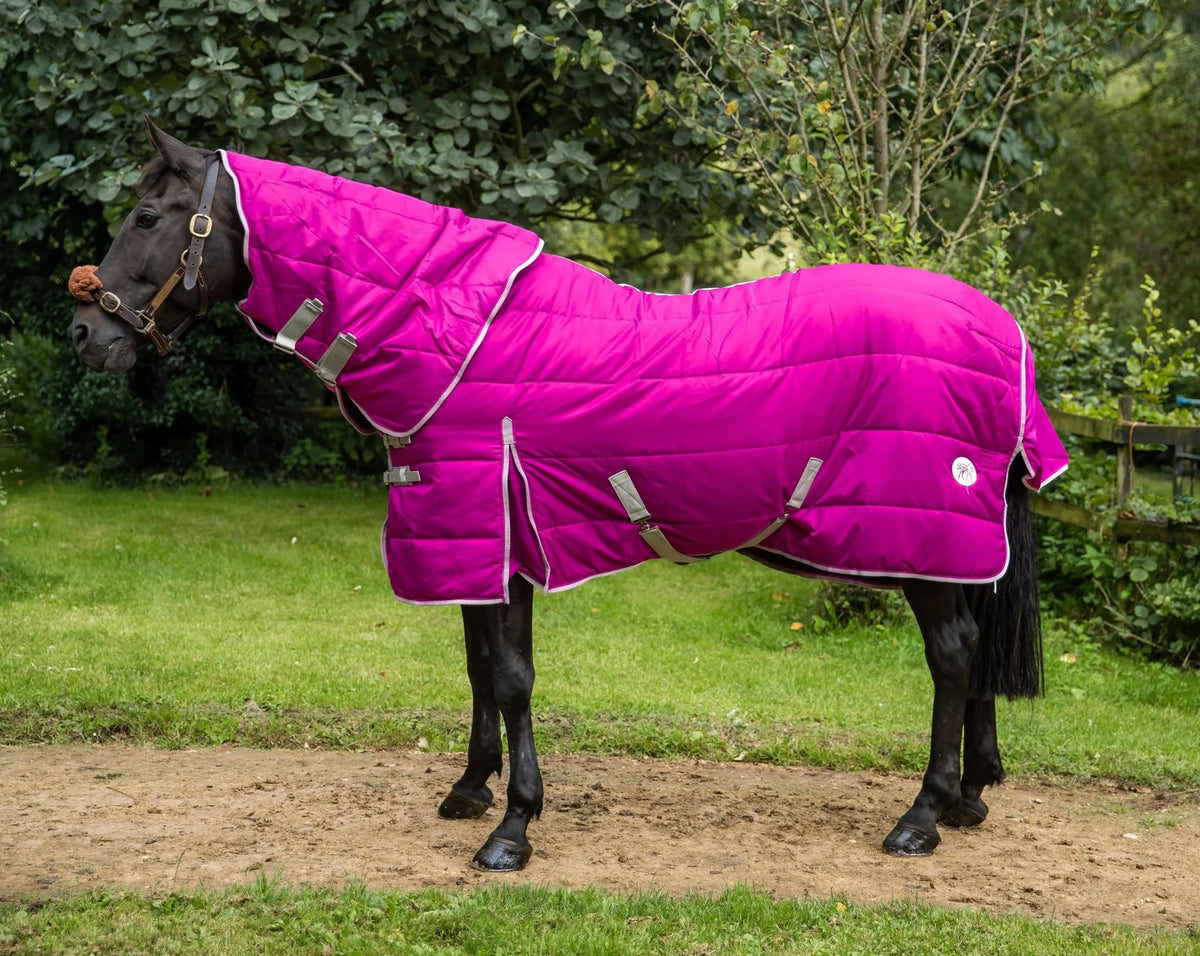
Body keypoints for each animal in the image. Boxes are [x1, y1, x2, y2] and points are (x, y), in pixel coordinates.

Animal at [69, 118, 1068, 872]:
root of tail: (1001, 330)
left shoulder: (490, 527)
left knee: (953, 655)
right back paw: (971, 797)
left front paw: (513, 830)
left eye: (149, 214)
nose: (85, 334)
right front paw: (469, 791)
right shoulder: (472, 540)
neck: (457, 328)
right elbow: (479, 667)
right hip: (958, 545)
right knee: (975, 653)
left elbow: (510, 677)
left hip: (923, 538)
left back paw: (922, 816)